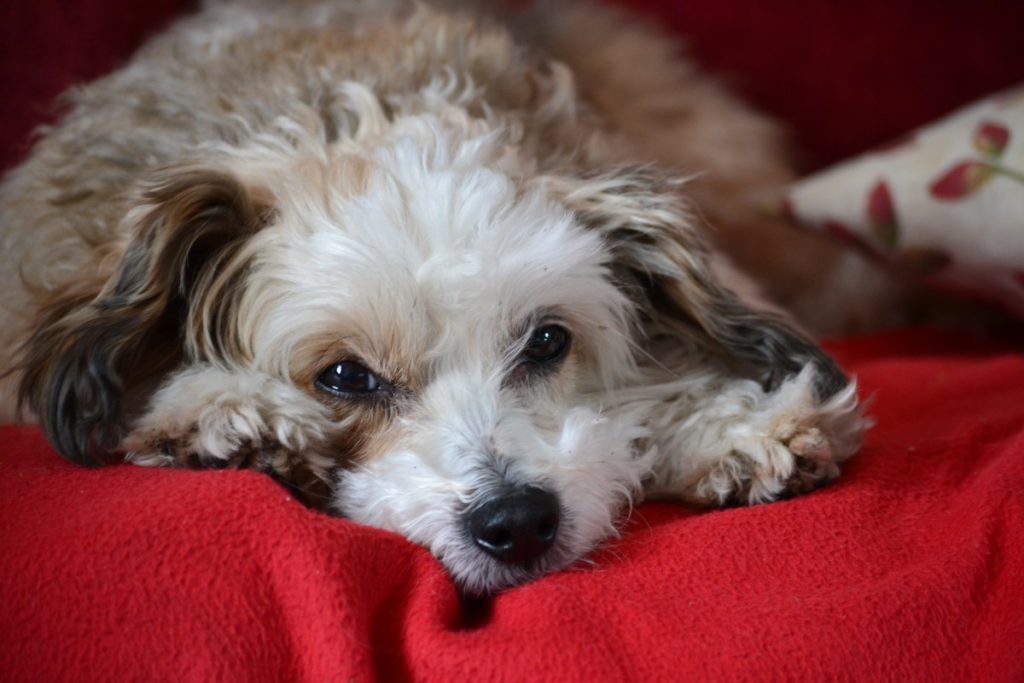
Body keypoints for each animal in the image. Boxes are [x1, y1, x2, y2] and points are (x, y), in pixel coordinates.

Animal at [0, 0, 868, 593]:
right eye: (346, 376)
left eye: (547, 340)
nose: (516, 522)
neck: (359, 107)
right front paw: (230, 416)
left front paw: (737, 427)